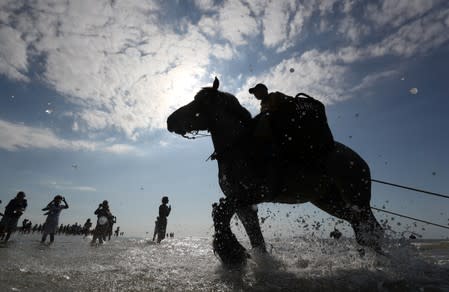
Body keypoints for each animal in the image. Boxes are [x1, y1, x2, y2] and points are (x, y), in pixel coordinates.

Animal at [166, 77, 384, 266]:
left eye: (200, 102)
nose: (169, 121)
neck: (240, 147)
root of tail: (359, 160)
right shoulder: (242, 203)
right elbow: (255, 238)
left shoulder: (250, 194)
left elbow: (220, 213)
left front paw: (231, 253)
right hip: (330, 201)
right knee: (362, 229)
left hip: (357, 200)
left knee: (373, 230)